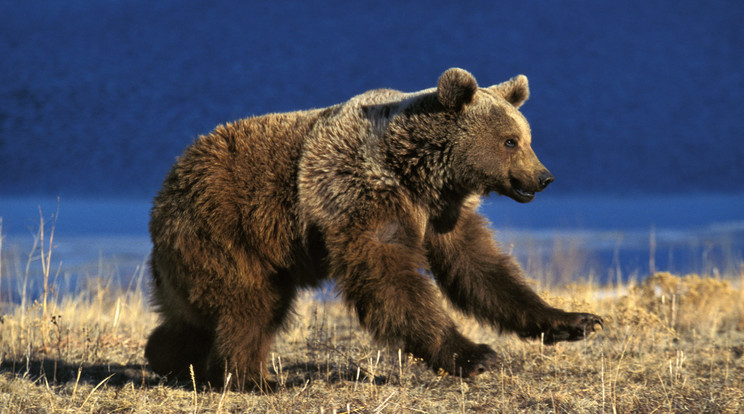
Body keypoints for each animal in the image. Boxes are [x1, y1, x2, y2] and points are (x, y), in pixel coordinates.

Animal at [145, 68, 604, 392]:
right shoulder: (359, 195)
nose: (543, 177)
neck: (418, 173)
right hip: (228, 229)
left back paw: (167, 356)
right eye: (510, 141)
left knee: (204, 314)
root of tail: (168, 179)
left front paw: (575, 321)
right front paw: (473, 354)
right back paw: (252, 379)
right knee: (249, 306)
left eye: (526, 138)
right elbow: (387, 277)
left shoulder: (442, 215)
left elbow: (480, 270)